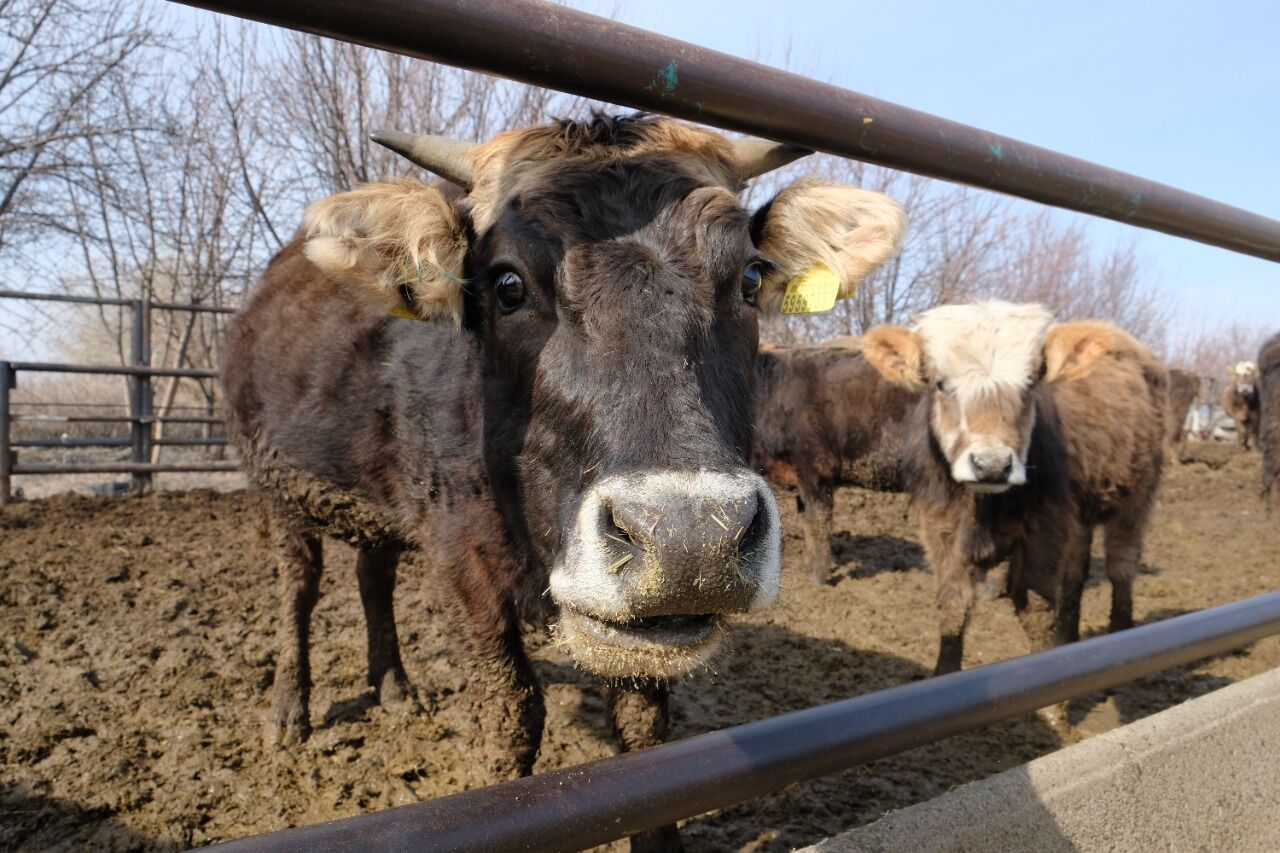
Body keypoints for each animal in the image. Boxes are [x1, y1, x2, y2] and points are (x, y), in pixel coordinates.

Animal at [860, 302, 1172, 676]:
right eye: (940, 384)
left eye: (1030, 383)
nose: (991, 464)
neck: (982, 508)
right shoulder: (940, 529)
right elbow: (953, 607)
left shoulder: (1045, 530)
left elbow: (1036, 613)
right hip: (1079, 515)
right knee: (1076, 572)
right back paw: (1069, 638)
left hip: (1136, 499)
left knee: (1121, 567)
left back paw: (1121, 634)